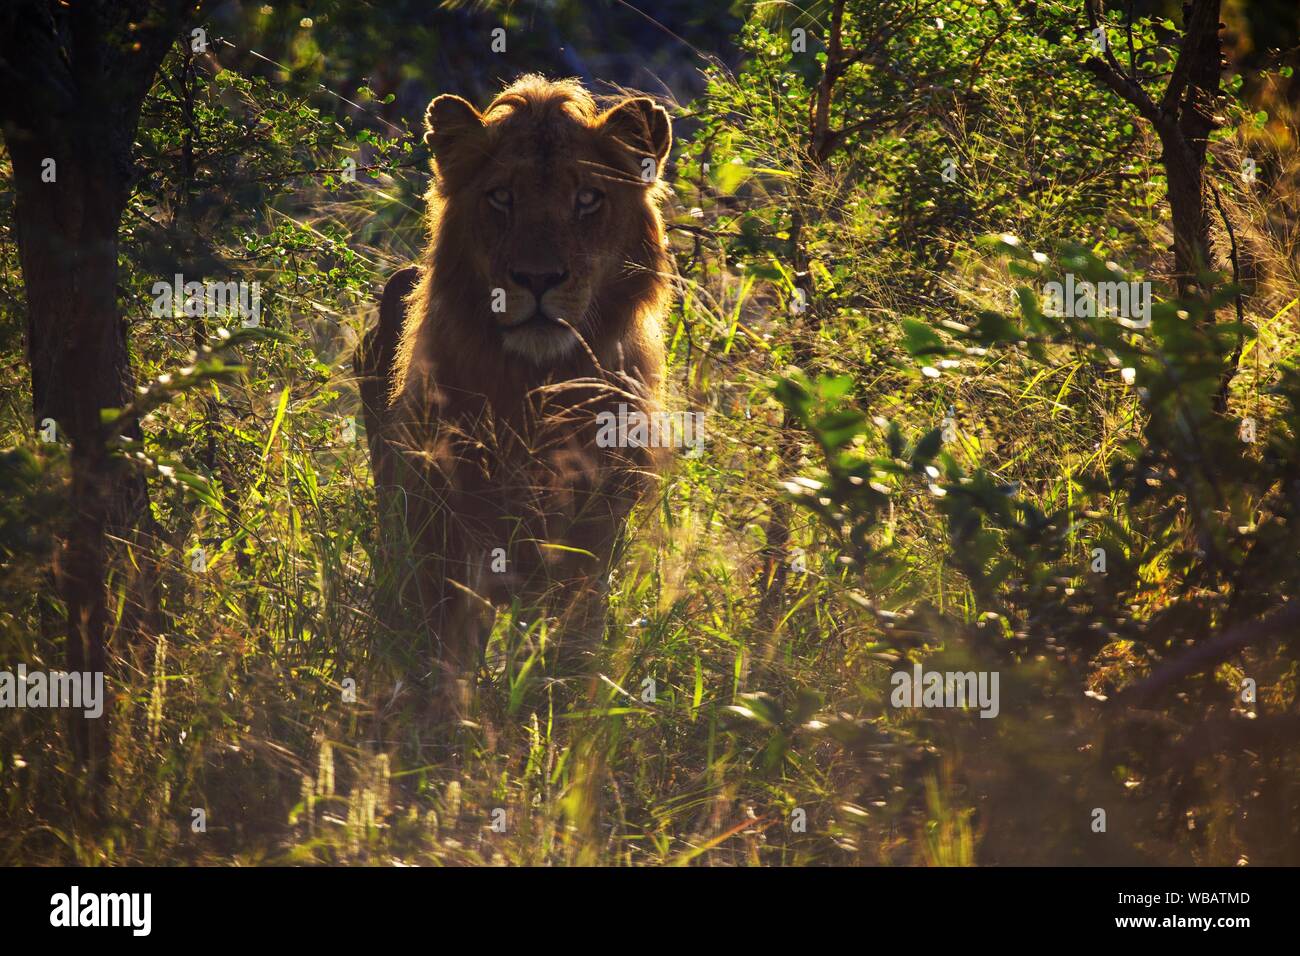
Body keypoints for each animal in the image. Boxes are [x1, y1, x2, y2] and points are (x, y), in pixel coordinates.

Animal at [354, 76, 674, 723]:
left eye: (588, 199)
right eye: (501, 197)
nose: (538, 279)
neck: (536, 384)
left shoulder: (594, 527)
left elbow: (573, 638)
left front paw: (554, 708)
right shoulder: (443, 512)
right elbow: (445, 632)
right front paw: (445, 716)